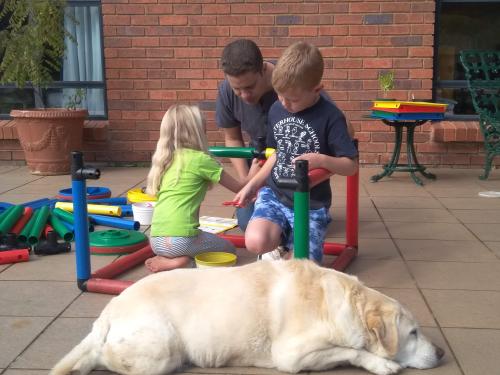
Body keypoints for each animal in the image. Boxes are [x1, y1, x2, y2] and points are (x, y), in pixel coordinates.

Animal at [50, 262, 444, 375]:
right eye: (413, 333)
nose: (441, 353)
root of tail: (109, 310)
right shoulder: (292, 356)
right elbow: (352, 350)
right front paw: (383, 363)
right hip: (162, 349)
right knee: (103, 357)